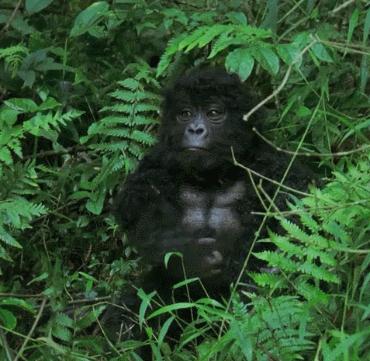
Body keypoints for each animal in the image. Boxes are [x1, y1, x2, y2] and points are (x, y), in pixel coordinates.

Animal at [115, 67, 312, 296]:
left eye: (213, 113)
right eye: (185, 114)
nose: (194, 129)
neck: (216, 175)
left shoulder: (279, 173)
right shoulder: (153, 168)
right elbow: (145, 225)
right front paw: (192, 255)